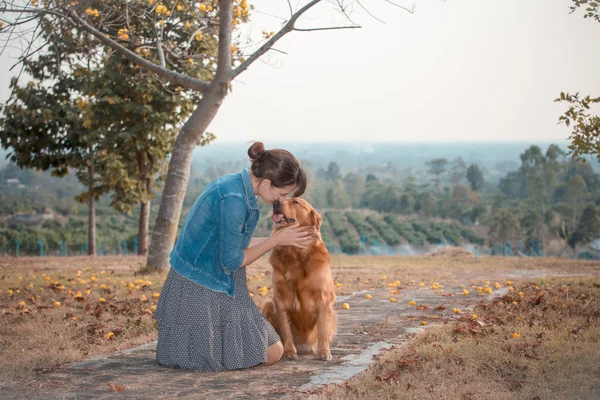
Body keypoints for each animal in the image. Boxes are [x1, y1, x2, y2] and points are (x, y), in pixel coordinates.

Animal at [262, 198, 338, 360]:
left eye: (295, 201)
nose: (276, 202)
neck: (294, 252)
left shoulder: (324, 299)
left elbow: (323, 330)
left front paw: (324, 352)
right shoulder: (280, 298)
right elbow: (285, 329)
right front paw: (289, 351)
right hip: (268, 304)